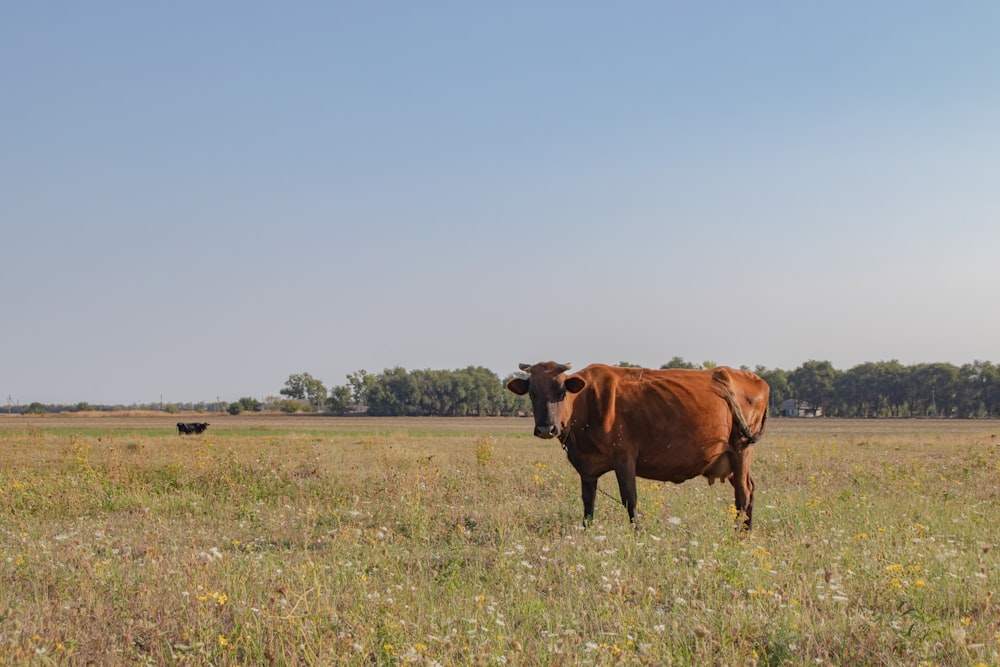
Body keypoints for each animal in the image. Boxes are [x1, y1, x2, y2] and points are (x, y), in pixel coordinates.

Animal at [512, 362, 768, 528]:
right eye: (532, 393)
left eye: (561, 392)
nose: (547, 428)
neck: (584, 404)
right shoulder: (587, 467)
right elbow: (588, 501)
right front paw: (587, 531)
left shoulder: (624, 457)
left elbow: (630, 499)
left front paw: (637, 534)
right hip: (731, 457)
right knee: (749, 490)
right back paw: (746, 533)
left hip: (741, 449)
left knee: (743, 494)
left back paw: (736, 535)